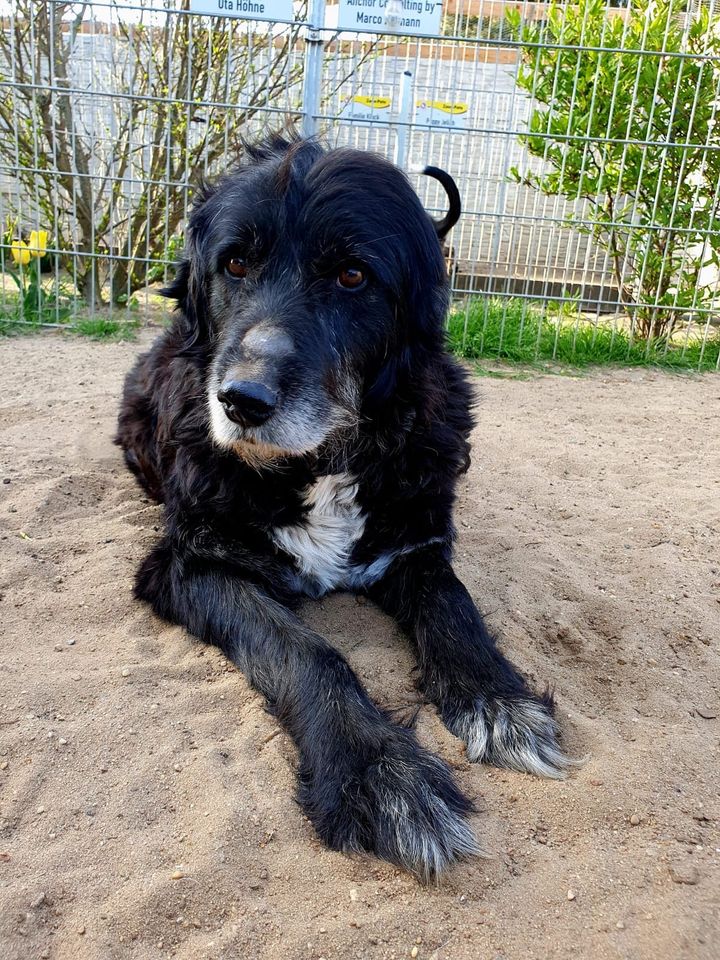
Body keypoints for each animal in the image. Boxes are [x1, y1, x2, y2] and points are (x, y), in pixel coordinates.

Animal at [115, 131, 572, 880]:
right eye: (235, 262)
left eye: (353, 277)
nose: (241, 402)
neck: (321, 463)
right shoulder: (191, 563)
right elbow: (306, 651)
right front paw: (378, 773)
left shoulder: (416, 545)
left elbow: (456, 609)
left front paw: (499, 699)